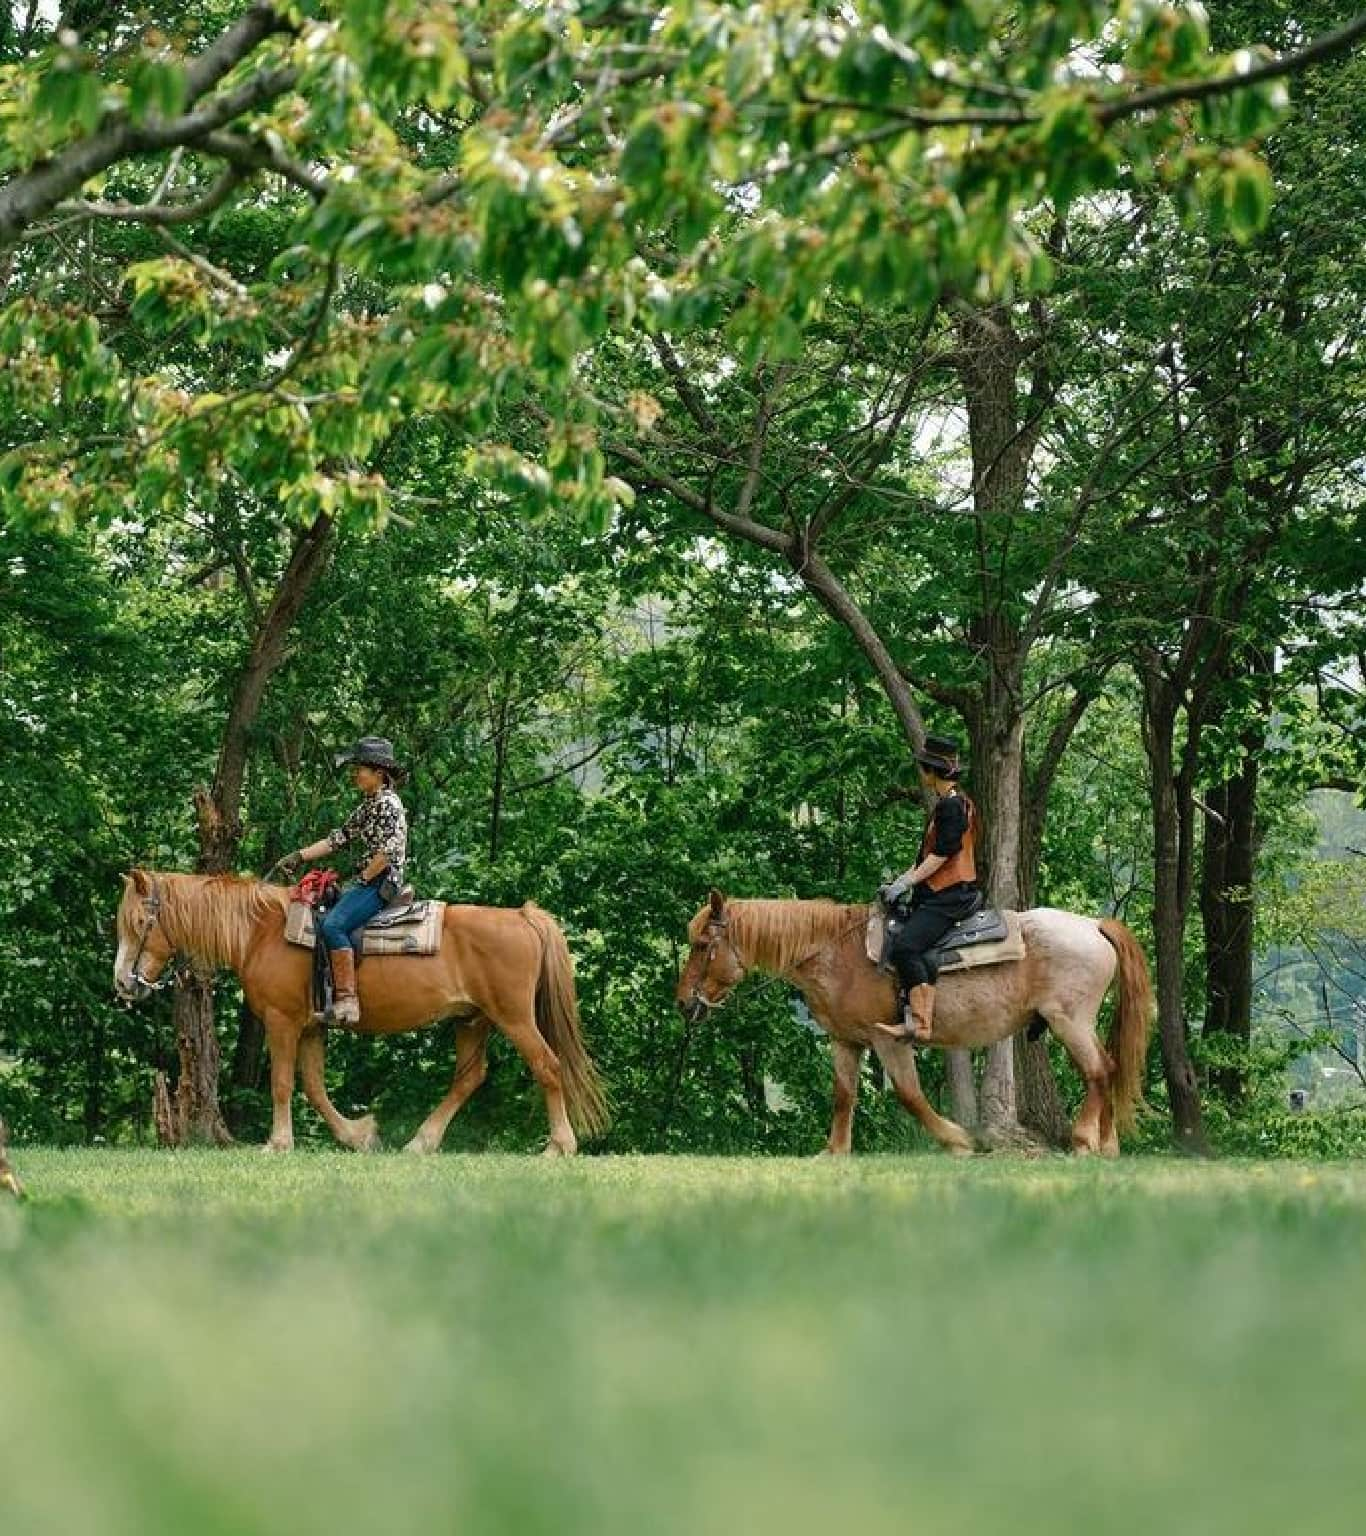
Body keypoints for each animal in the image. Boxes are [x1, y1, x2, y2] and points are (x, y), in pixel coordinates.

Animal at [114, 878, 605, 1155]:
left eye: (138, 922)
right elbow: (314, 1087)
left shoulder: (282, 1021)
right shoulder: (311, 1027)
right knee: (469, 1077)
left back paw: (559, 1146)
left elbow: (282, 1083)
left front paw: (278, 1143)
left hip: (514, 1017)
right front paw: (358, 1135)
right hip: (472, 1020)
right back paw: (420, 1143)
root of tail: (522, 917)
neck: (261, 932)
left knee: (547, 1066)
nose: (123, 983)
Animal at [673, 897, 1149, 1155]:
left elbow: (910, 1096)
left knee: (1098, 1071)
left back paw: (1085, 1140)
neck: (835, 953)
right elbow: (844, 1096)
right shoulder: (846, 1041)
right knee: (1109, 1068)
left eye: (701, 944)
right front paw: (834, 1151)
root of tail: (1093, 925)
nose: (683, 1003)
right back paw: (1108, 1145)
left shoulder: (889, 1041)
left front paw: (957, 1140)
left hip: (1069, 1020)